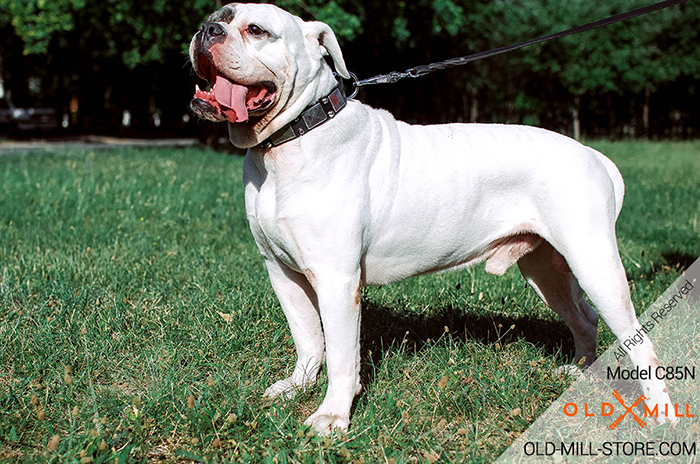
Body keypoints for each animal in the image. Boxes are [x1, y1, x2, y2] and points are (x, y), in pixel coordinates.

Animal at [190, 2, 672, 436]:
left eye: (256, 30)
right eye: (217, 16)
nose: (207, 30)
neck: (290, 141)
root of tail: (592, 154)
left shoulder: (336, 280)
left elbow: (342, 355)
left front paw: (332, 417)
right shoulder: (283, 272)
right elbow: (308, 339)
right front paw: (296, 388)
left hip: (594, 263)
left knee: (640, 341)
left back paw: (660, 415)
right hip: (546, 270)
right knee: (584, 319)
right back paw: (577, 374)